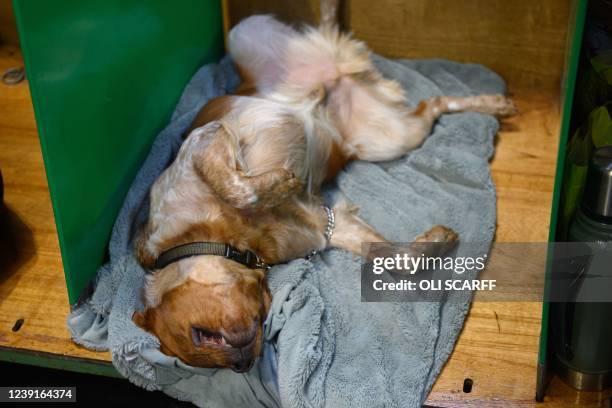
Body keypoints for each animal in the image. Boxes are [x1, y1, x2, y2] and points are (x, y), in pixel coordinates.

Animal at [134, 5, 516, 372]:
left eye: (202, 335)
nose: (243, 366)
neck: (225, 236)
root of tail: (335, 73)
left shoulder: (205, 138)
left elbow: (240, 187)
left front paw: (279, 182)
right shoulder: (327, 226)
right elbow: (396, 258)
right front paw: (435, 241)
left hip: (243, 30)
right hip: (390, 138)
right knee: (434, 102)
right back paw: (493, 104)